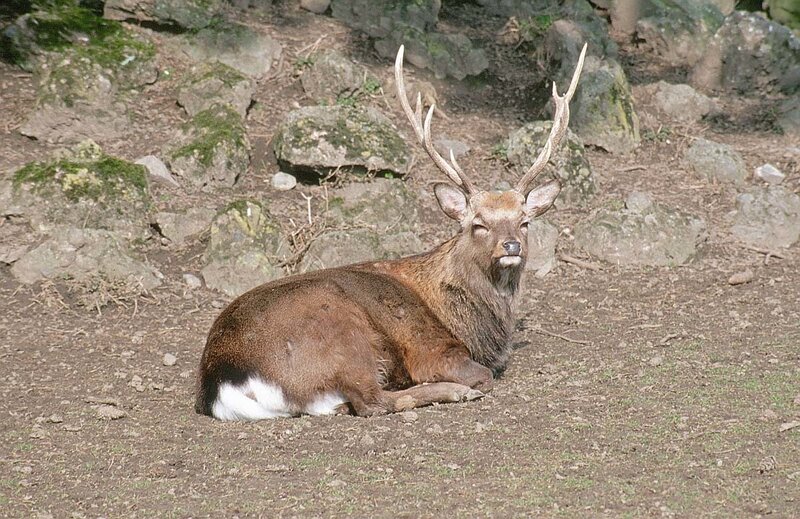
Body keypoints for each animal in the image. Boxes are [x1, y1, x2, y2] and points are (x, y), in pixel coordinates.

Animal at [195, 44, 587, 421]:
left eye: (525, 220)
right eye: (478, 223)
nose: (511, 245)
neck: (478, 327)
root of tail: (222, 383)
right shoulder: (431, 348)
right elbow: (483, 374)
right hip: (340, 329)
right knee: (372, 401)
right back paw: (454, 392)